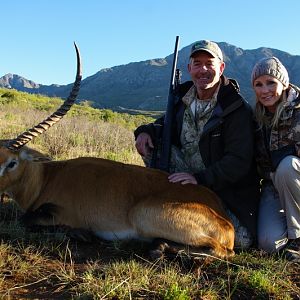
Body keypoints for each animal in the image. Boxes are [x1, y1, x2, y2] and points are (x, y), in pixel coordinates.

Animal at [0, 43, 234, 258]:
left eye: (12, 162)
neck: (46, 178)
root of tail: (226, 222)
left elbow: (26, 220)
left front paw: (82, 234)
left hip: (144, 216)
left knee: (221, 250)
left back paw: (159, 249)